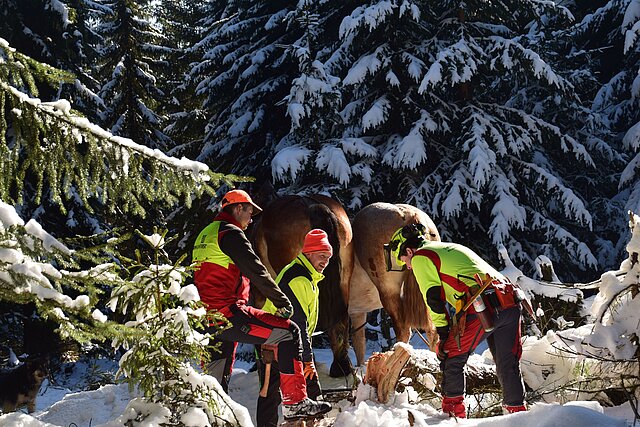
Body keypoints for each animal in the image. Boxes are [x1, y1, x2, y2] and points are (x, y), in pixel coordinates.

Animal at [348, 202, 442, 366]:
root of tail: (410, 215)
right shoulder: (357, 313)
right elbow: (359, 345)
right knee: (432, 332)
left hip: (388, 291)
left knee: (403, 330)